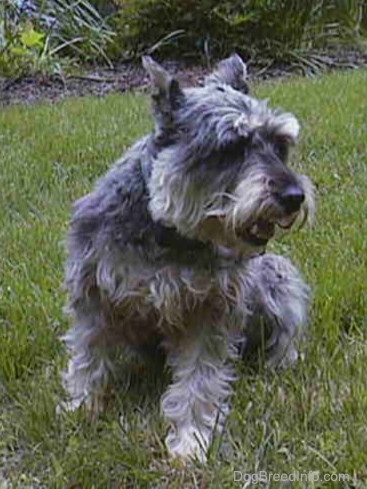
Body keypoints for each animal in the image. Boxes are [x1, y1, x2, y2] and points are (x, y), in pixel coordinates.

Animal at [60, 53, 316, 462]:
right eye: (230, 148)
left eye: (280, 145)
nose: (294, 196)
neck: (169, 230)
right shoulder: (92, 292)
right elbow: (88, 355)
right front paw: (82, 407)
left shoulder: (210, 309)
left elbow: (200, 379)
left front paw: (190, 441)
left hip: (278, 277)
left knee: (286, 334)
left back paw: (281, 364)